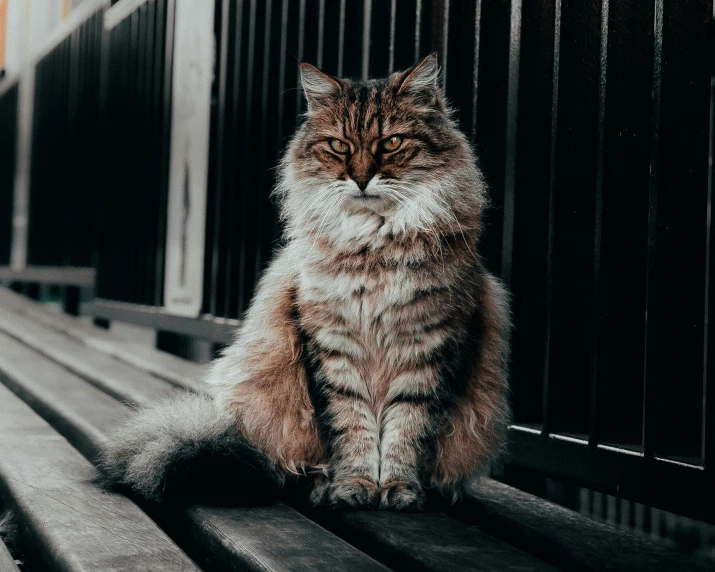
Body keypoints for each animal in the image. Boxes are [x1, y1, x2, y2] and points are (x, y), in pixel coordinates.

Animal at [103, 52, 512, 510]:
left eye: (391, 143)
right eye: (339, 146)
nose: (361, 178)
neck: (372, 247)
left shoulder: (428, 347)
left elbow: (407, 431)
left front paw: (399, 488)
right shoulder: (331, 346)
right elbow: (351, 430)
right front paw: (354, 485)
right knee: (284, 466)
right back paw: (317, 485)